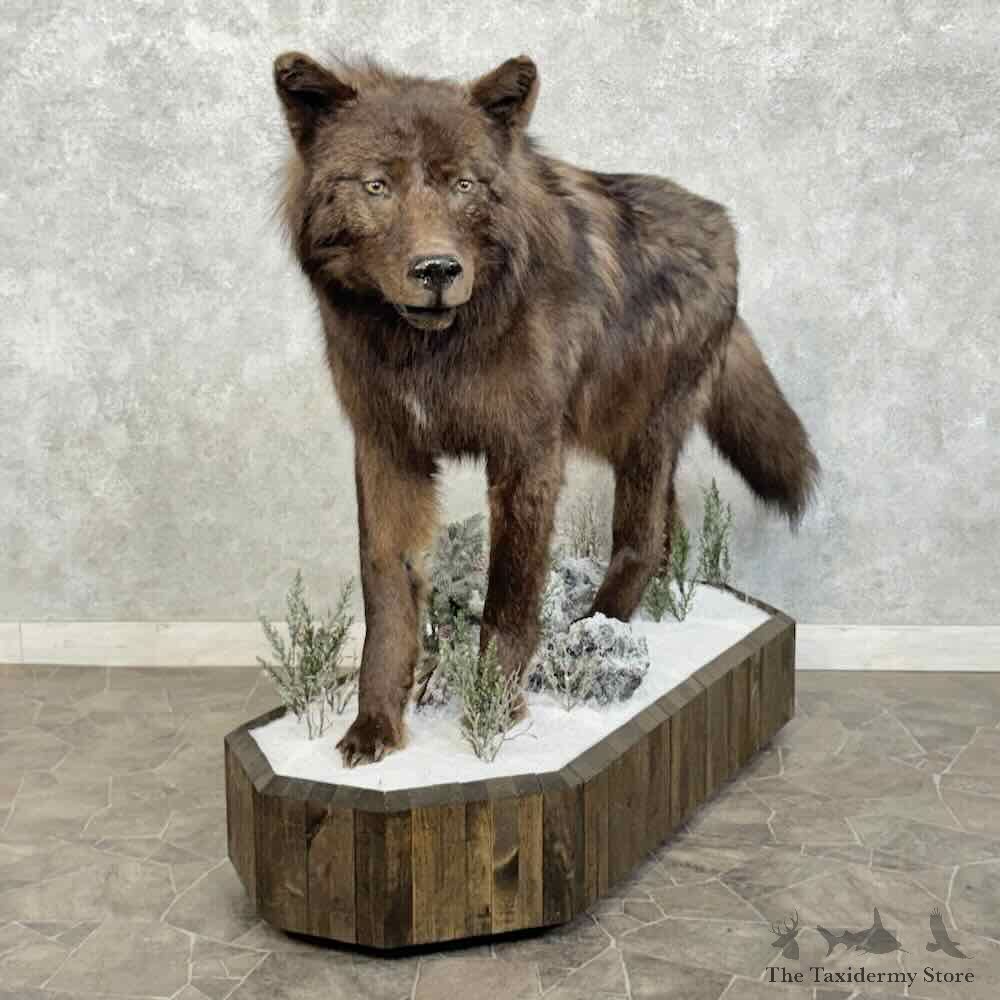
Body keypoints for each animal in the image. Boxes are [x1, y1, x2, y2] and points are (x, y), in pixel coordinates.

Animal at [273, 52, 818, 766]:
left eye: (465, 185)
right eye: (377, 186)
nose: (438, 269)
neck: (433, 353)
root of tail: (722, 221)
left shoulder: (528, 450)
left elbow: (509, 595)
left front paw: (494, 715)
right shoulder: (387, 448)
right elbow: (387, 592)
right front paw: (376, 727)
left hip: (643, 431)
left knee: (641, 536)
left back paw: (595, 630)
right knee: (666, 531)